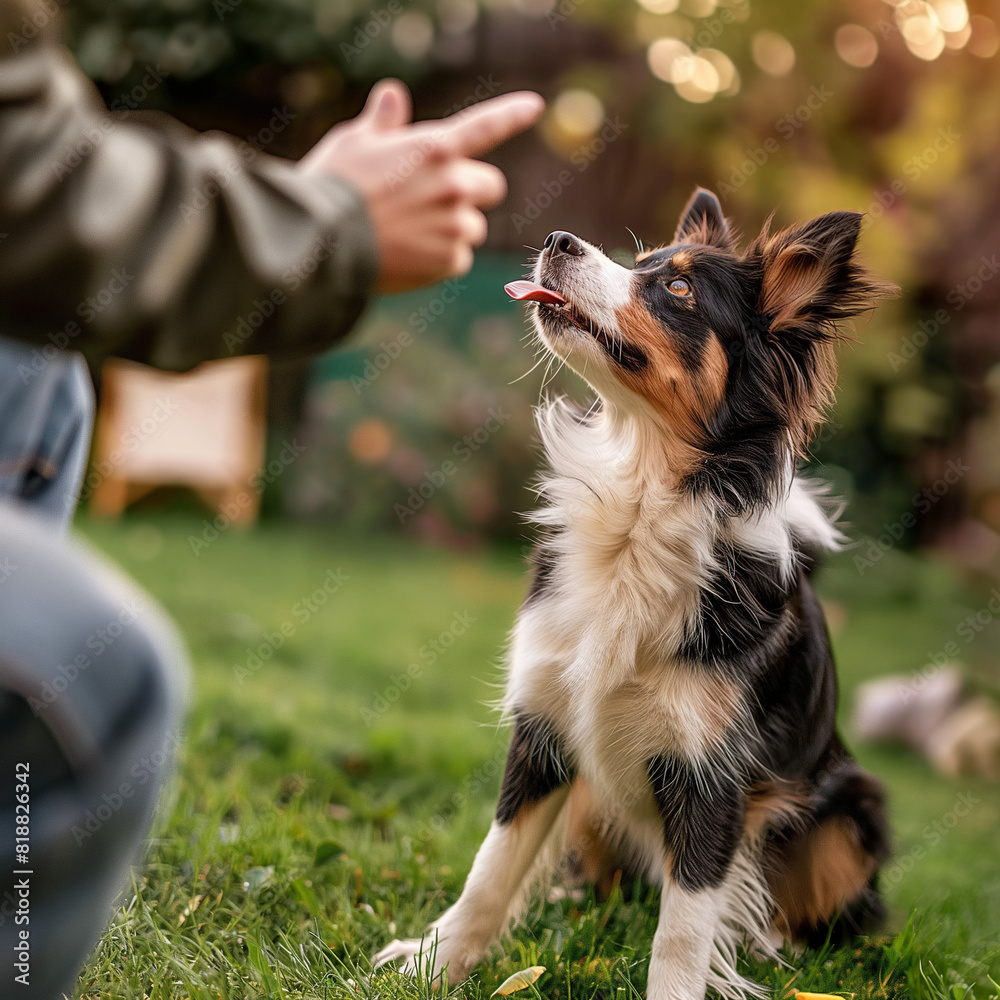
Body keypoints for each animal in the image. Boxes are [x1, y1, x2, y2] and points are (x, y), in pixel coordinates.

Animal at [376, 189, 900, 1000]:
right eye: (642, 261)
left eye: (678, 288)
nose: (557, 241)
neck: (638, 509)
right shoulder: (544, 725)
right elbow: (492, 866)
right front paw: (437, 961)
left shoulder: (714, 775)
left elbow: (682, 932)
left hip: (851, 812)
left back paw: (774, 947)